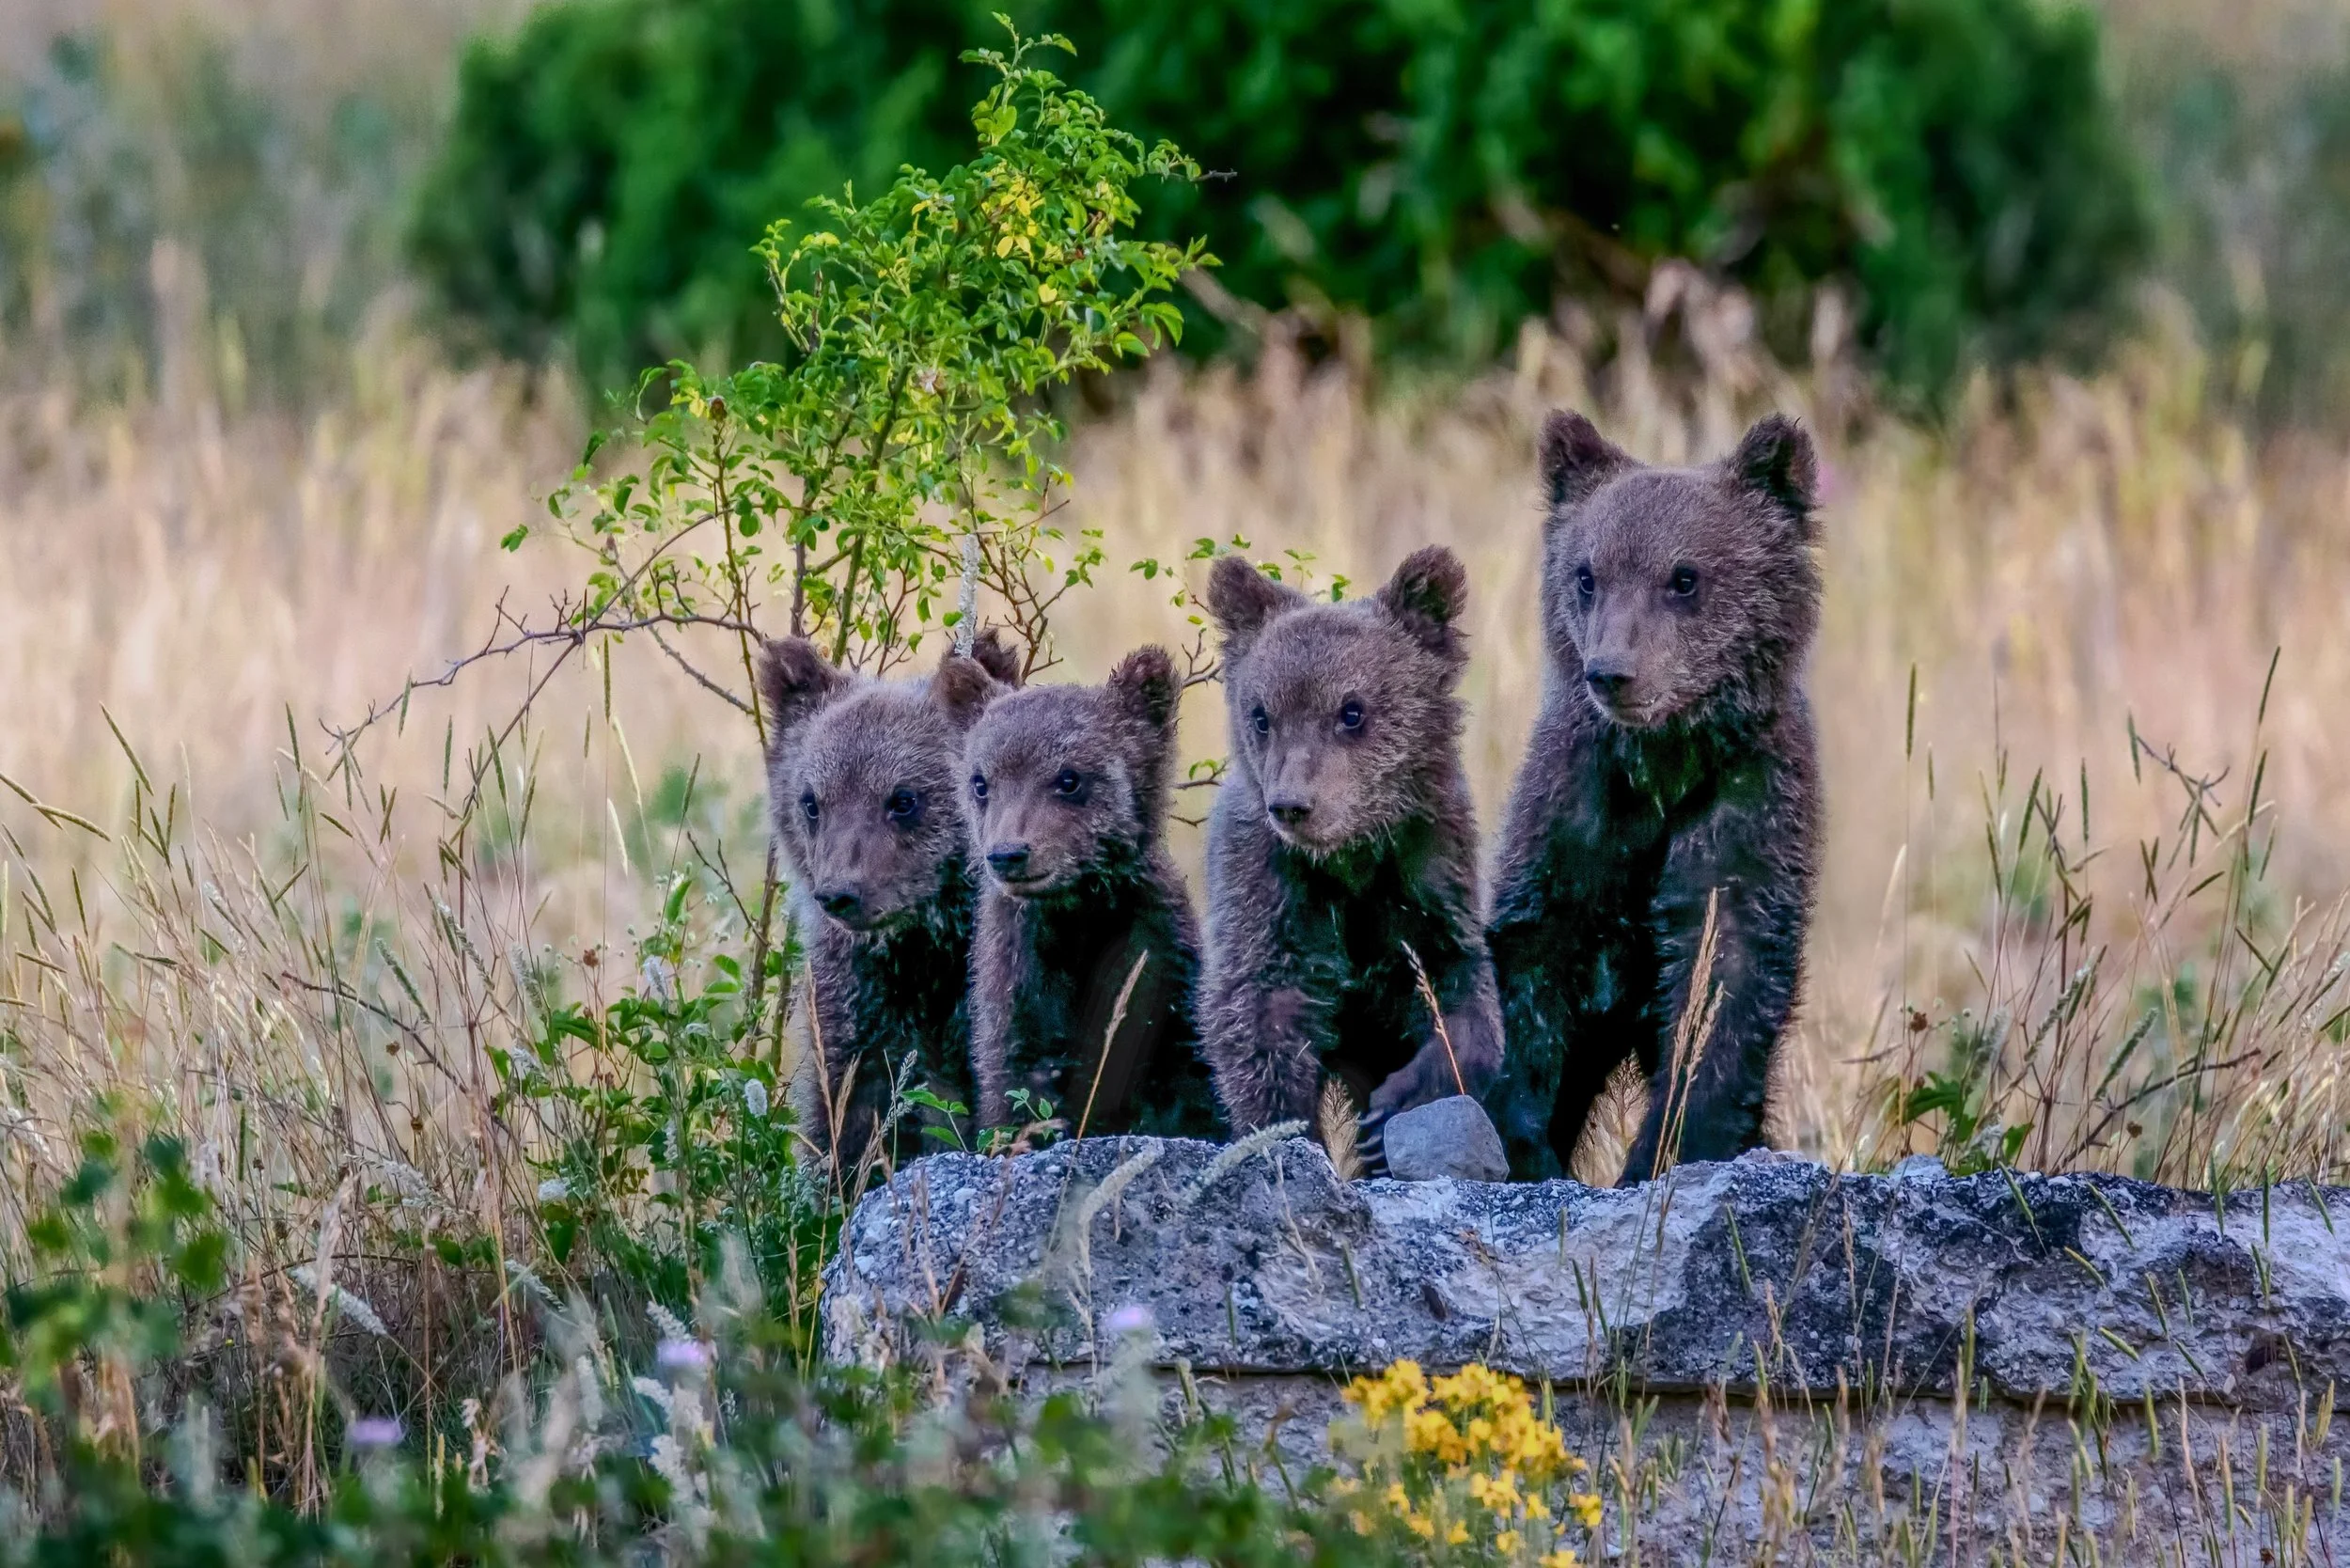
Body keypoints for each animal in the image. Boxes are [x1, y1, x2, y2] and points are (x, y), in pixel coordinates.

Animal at [958, 645, 1223, 1141]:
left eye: (1069, 778)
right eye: (981, 782)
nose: (1008, 854)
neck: (1079, 912)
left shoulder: (1159, 962)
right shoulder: (1020, 980)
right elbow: (1017, 1083)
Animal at [1197, 545, 1504, 1164]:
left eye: (1352, 710)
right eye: (1261, 714)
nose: (1292, 805)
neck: (1351, 858)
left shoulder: (1430, 871)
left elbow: (1465, 1001)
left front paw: (1390, 1112)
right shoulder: (1268, 890)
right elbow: (1258, 1015)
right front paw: (1290, 1134)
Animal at [1482, 410, 1823, 1187]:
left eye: (1684, 577)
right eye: (1587, 574)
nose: (1613, 672)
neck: (1661, 768)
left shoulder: (1745, 809)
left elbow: (1720, 985)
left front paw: (1664, 1151)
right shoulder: (1575, 816)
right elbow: (1535, 975)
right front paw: (1527, 1143)